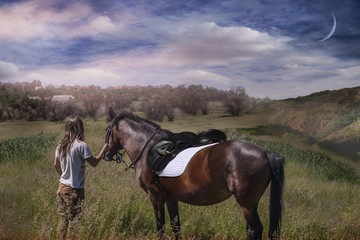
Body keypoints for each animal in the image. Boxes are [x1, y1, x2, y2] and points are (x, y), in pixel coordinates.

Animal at [104, 108, 284, 239]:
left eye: (107, 129)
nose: (106, 154)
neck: (147, 147)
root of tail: (264, 152)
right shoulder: (170, 198)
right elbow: (176, 227)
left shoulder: (154, 195)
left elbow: (160, 227)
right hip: (250, 204)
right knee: (251, 230)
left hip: (246, 203)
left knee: (256, 229)